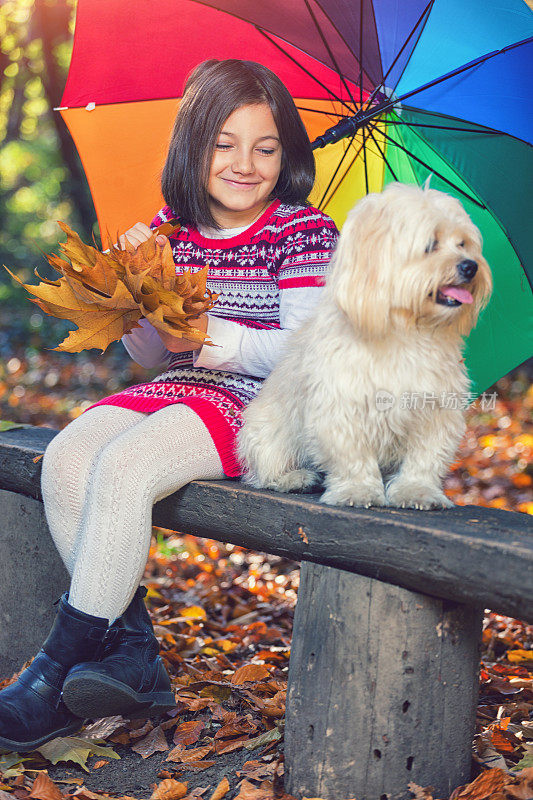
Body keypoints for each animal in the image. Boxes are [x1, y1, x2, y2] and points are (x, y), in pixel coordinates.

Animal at [236, 183, 490, 506]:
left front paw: (416, 490)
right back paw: (293, 478)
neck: (405, 331)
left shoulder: (435, 409)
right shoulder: (342, 407)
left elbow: (424, 458)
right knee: (265, 471)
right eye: (430, 244)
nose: (471, 266)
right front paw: (358, 491)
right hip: (267, 434)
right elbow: (352, 457)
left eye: (463, 244)